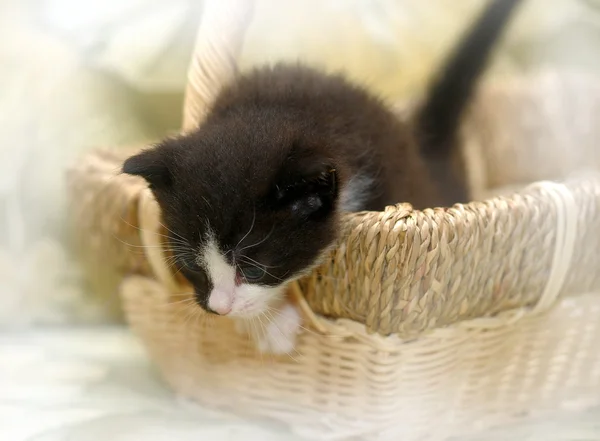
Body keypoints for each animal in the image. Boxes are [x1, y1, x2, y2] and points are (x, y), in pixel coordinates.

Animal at [123, 0, 524, 352]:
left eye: (253, 270)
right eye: (191, 264)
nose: (219, 308)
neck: (278, 111)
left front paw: (271, 324)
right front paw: (266, 324)